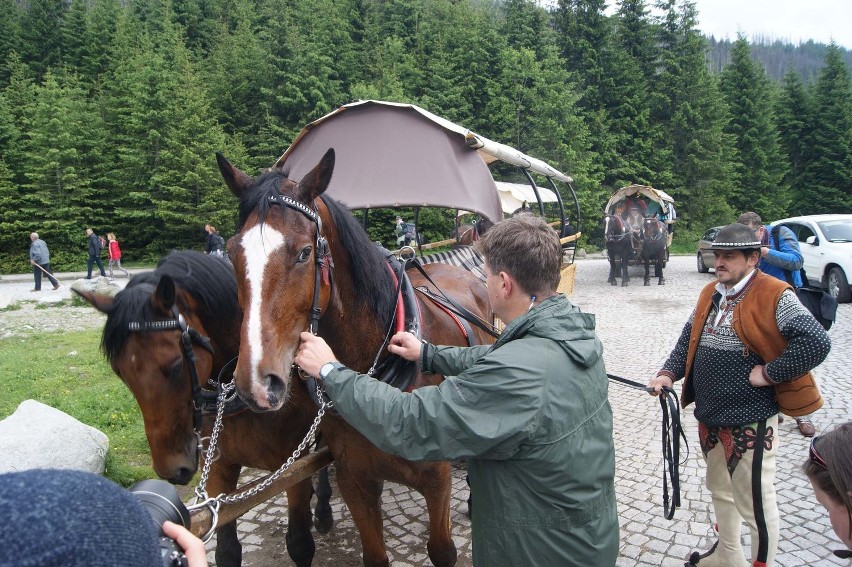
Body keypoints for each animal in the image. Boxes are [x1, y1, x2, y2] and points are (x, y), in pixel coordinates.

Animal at [75, 253, 332, 567]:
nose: (172, 468)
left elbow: (299, 543)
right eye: (119, 371)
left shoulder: (293, 468)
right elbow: (227, 551)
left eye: (175, 366)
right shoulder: (220, 471)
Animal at [216, 149, 496, 564]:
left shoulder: (437, 481)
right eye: (233, 253)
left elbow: (442, 550)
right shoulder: (355, 479)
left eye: (304, 253)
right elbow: (374, 555)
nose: (257, 382)